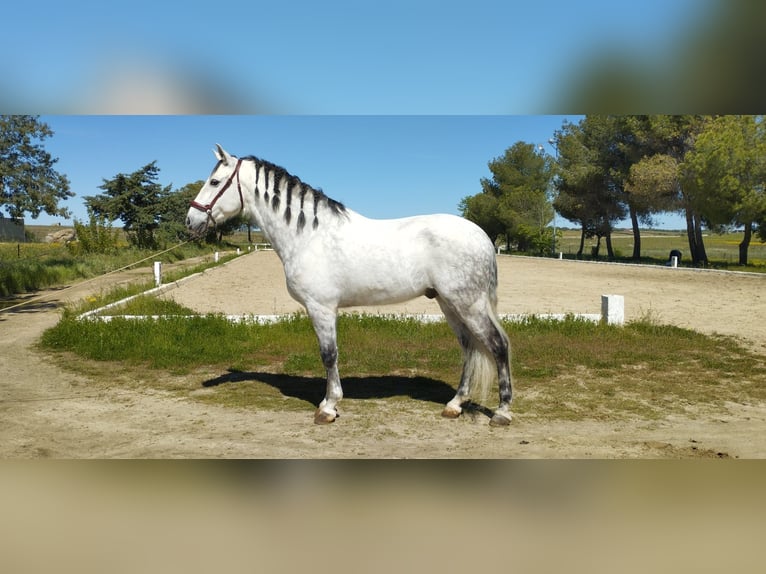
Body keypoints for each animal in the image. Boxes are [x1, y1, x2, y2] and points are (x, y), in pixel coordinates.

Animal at [184, 147, 516, 428]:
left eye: (215, 181)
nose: (190, 221)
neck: (308, 235)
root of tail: (482, 236)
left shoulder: (321, 308)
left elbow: (329, 355)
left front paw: (328, 407)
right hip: (449, 304)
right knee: (470, 348)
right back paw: (454, 404)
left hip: (468, 304)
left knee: (497, 345)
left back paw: (502, 412)